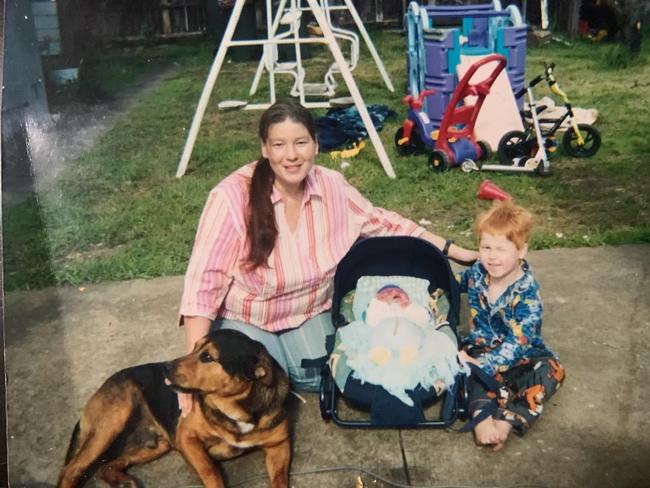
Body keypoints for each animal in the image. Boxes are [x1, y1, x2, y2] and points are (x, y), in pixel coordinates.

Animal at [57, 330, 290, 488]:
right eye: (194, 347)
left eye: (207, 357)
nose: (166, 367)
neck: (236, 410)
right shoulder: (186, 438)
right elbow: (211, 471)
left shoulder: (280, 445)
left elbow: (280, 480)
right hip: (112, 423)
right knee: (71, 470)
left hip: (156, 445)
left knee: (107, 465)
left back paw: (123, 482)